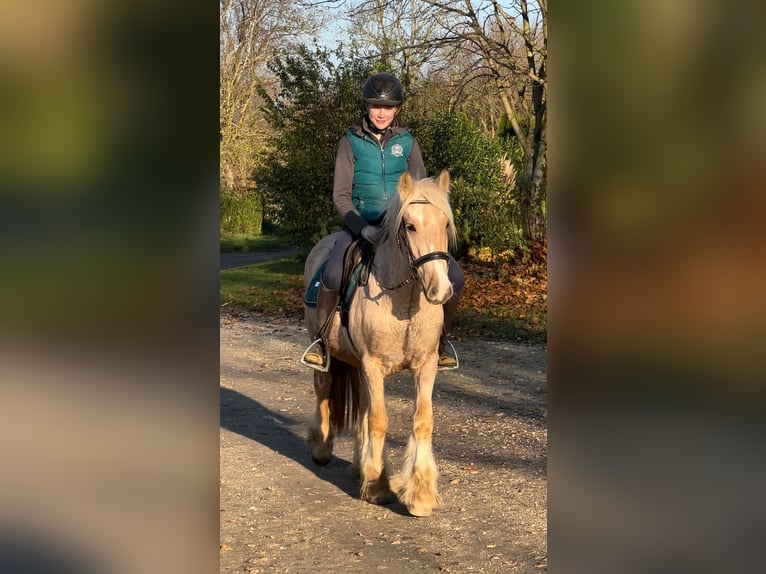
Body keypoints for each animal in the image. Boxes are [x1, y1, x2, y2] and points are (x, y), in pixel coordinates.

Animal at [304, 170, 460, 516]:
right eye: (410, 226)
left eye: (445, 224)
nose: (440, 290)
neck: (405, 301)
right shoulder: (373, 365)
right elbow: (379, 420)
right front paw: (378, 486)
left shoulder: (426, 366)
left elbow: (422, 421)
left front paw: (420, 493)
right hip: (326, 352)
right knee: (323, 389)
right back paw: (322, 449)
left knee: (362, 405)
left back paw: (359, 465)